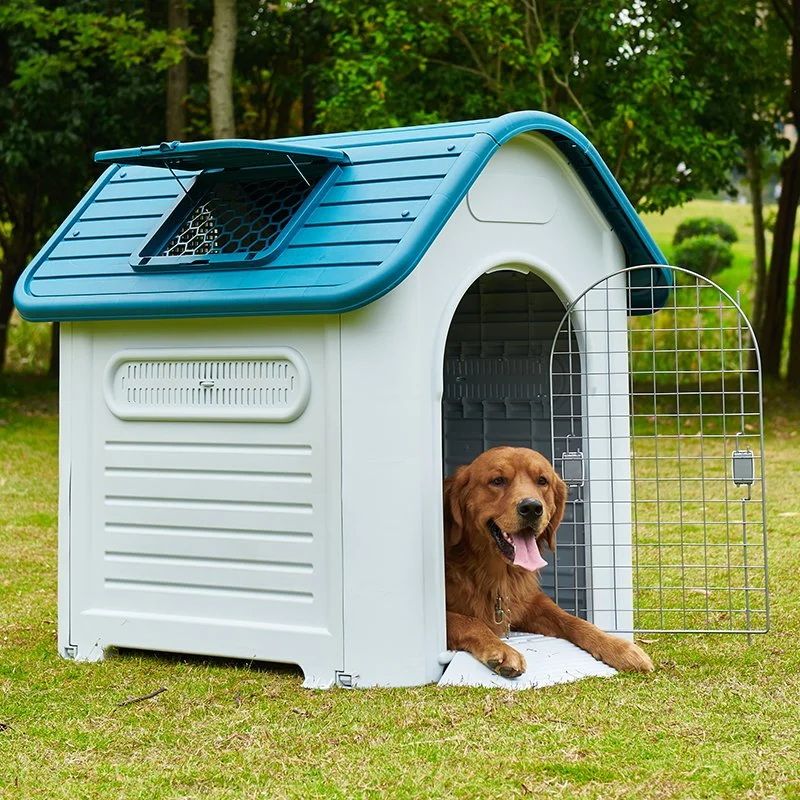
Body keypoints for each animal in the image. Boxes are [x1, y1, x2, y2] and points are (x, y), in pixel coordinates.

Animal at [444, 446, 656, 680]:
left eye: (542, 481)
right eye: (498, 481)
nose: (531, 507)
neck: (495, 572)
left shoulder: (530, 602)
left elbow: (572, 620)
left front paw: (619, 647)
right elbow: (470, 621)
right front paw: (501, 649)